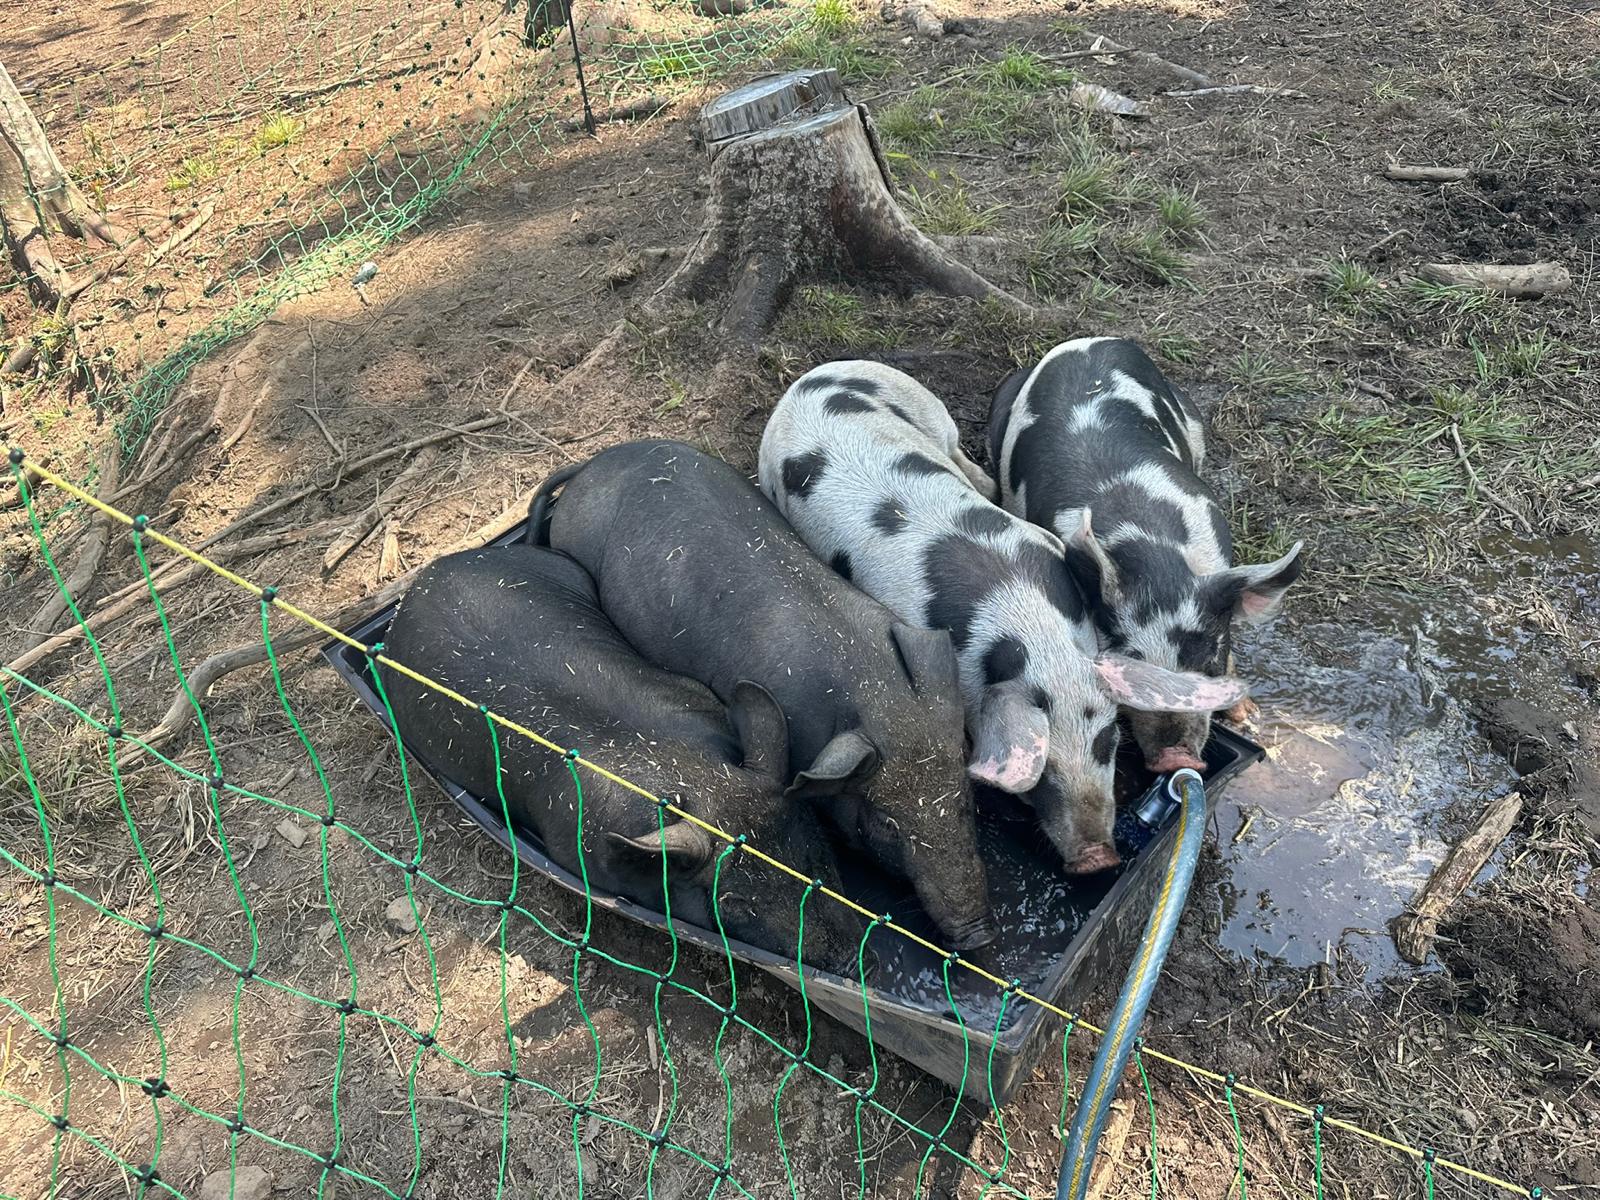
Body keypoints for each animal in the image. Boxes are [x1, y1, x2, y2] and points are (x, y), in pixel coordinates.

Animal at [759, 361, 1247, 875]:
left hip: (925, 407)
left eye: (1108, 739)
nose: (1096, 859)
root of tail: (812, 378)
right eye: (1041, 771)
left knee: (956, 449)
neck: (1026, 625)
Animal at [990, 337, 1304, 773]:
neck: (1152, 550)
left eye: (1208, 664)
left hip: (1192, 420)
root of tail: (1093, 339)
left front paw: (1247, 715)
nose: (1175, 758)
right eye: (1130, 667)